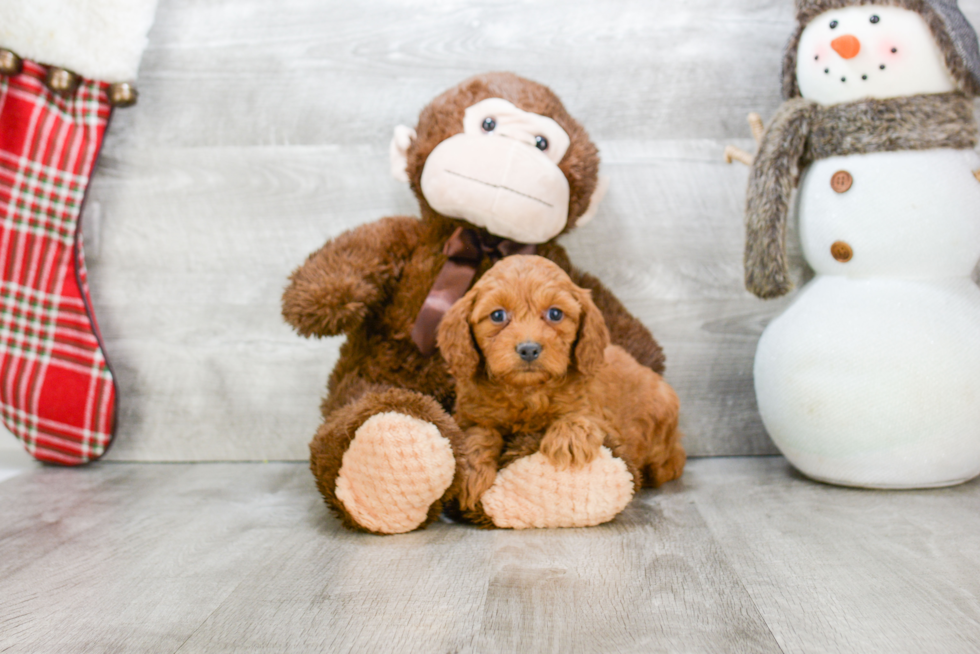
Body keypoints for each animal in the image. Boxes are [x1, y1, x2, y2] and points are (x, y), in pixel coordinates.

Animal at [436, 254, 680, 532]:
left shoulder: (604, 418)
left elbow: (581, 417)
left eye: (555, 313)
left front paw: (568, 439)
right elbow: (478, 433)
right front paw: (472, 475)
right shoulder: (469, 414)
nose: (528, 349)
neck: (528, 390)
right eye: (497, 315)